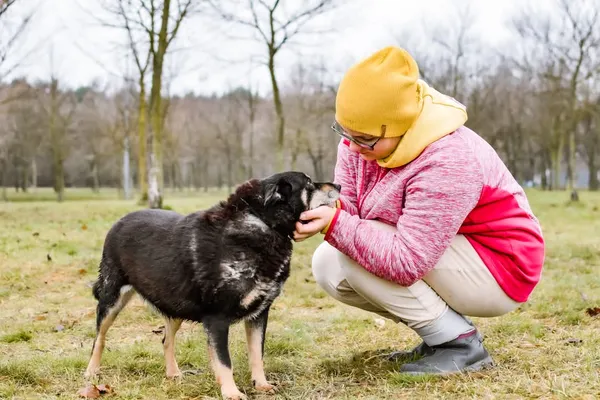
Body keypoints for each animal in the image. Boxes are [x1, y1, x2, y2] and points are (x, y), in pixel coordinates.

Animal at [82, 171, 340, 400]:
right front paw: (231, 392)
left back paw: (173, 373)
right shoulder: (217, 318)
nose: (337, 185)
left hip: (175, 304)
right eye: (309, 184)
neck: (263, 224)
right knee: (99, 338)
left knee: (166, 339)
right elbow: (225, 361)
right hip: (112, 298)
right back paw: (92, 372)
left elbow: (257, 354)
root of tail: (119, 221)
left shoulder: (259, 314)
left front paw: (261, 384)